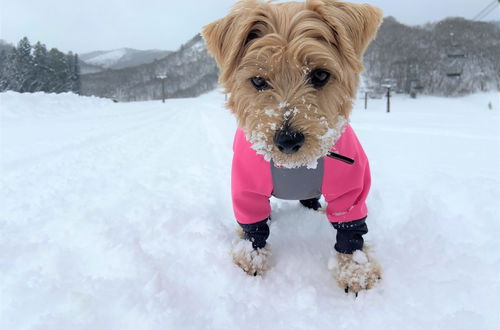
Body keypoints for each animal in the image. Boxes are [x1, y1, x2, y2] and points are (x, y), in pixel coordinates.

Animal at [203, 0, 382, 294]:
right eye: (258, 81)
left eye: (320, 75)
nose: (288, 141)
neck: (295, 167)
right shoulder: (246, 185)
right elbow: (253, 224)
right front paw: (251, 257)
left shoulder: (349, 186)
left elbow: (350, 224)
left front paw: (356, 268)